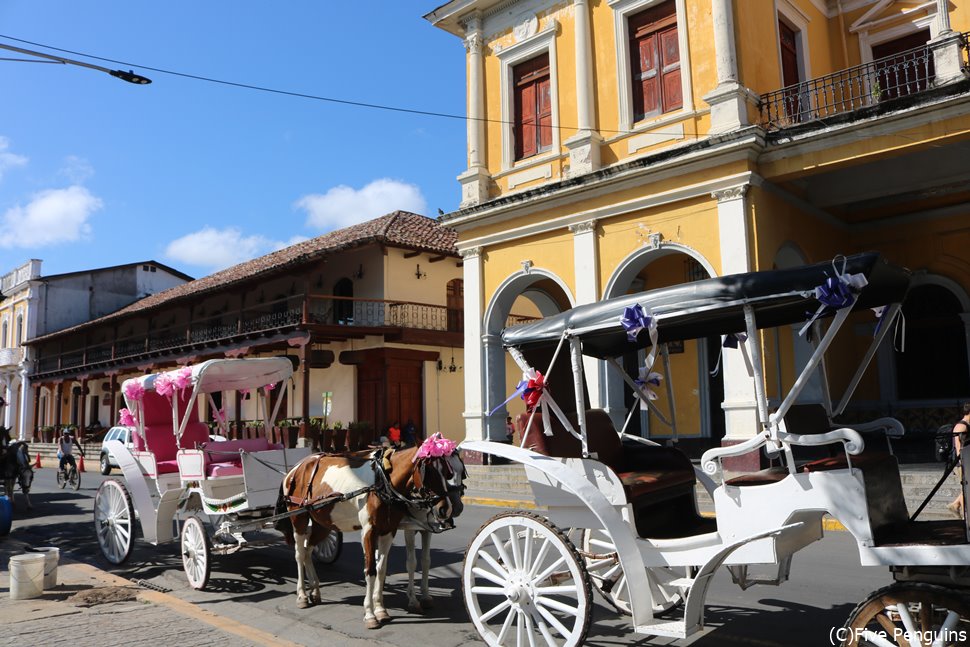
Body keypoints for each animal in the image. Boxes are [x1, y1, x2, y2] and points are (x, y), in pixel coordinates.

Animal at [276, 438, 466, 632]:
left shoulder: (390, 531)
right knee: (299, 554)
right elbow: (372, 570)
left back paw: (315, 590)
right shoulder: (371, 531)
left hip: (324, 523)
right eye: (428, 472)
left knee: (308, 551)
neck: (383, 482)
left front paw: (381, 609)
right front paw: (370, 614)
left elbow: (383, 570)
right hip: (298, 518)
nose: (447, 509)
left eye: (450, 472)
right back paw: (302, 595)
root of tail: (295, 468)